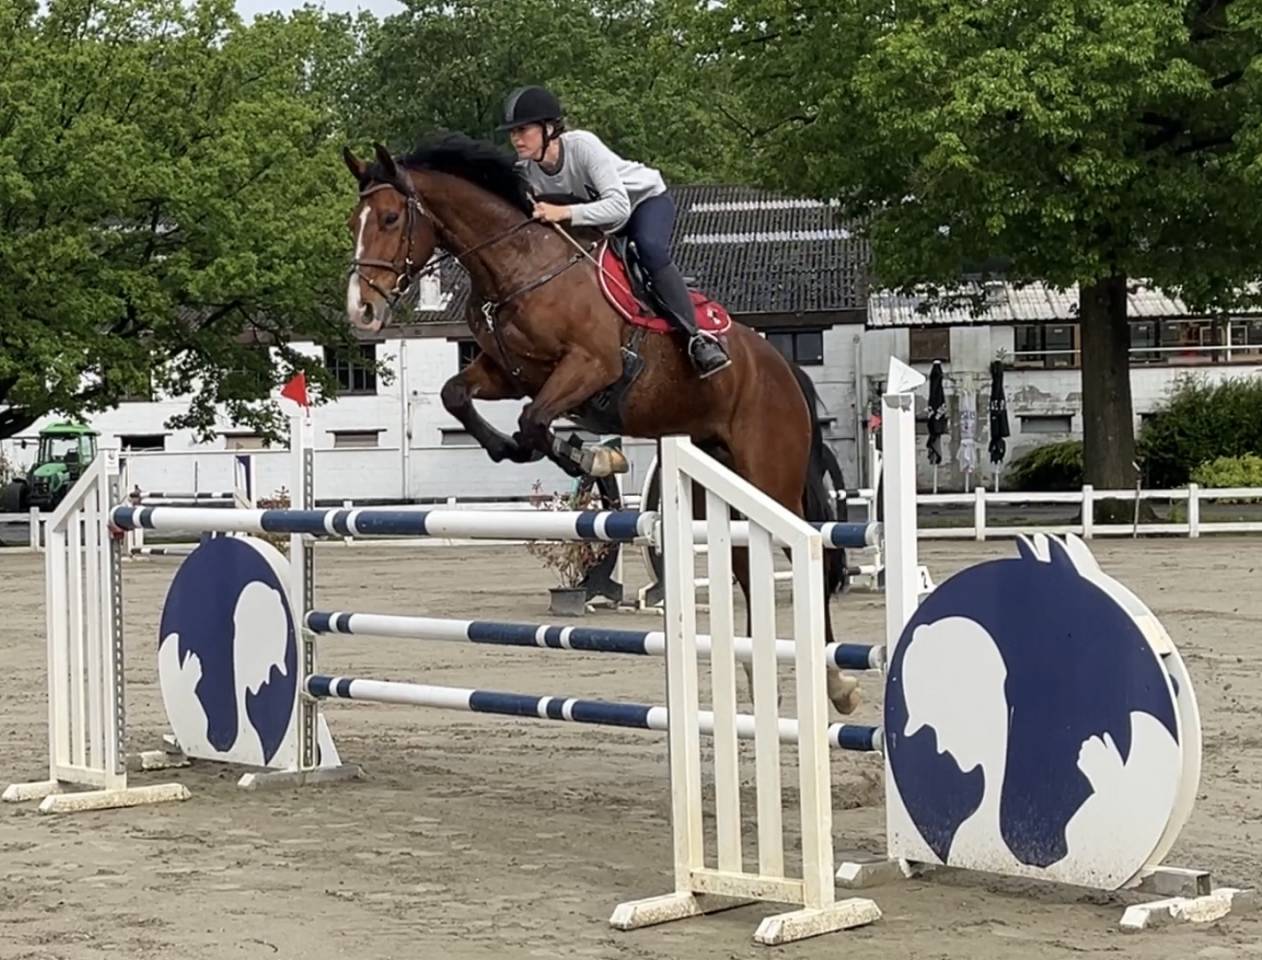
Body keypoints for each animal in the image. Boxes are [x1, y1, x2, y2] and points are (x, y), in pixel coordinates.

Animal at [341, 133, 860, 715]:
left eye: (390, 218)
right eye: (354, 221)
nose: (361, 311)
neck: (518, 267)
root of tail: (784, 368)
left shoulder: (590, 367)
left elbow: (534, 421)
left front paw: (589, 455)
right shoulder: (507, 372)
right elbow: (462, 397)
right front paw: (519, 450)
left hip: (770, 474)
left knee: (810, 549)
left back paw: (836, 682)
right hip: (720, 479)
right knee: (749, 561)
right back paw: (755, 671)